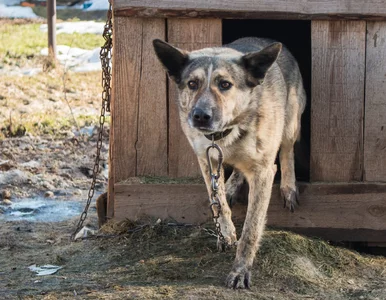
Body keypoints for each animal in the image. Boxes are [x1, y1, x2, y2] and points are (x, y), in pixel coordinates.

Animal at [152, 37, 306, 288]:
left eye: (225, 84)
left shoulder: (263, 172)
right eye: (192, 83)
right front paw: (227, 234)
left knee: (287, 150)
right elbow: (219, 203)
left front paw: (240, 270)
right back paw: (233, 185)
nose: (200, 116)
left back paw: (288, 187)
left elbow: (252, 228)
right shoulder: (207, 161)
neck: (224, 134)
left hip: (291, 122)